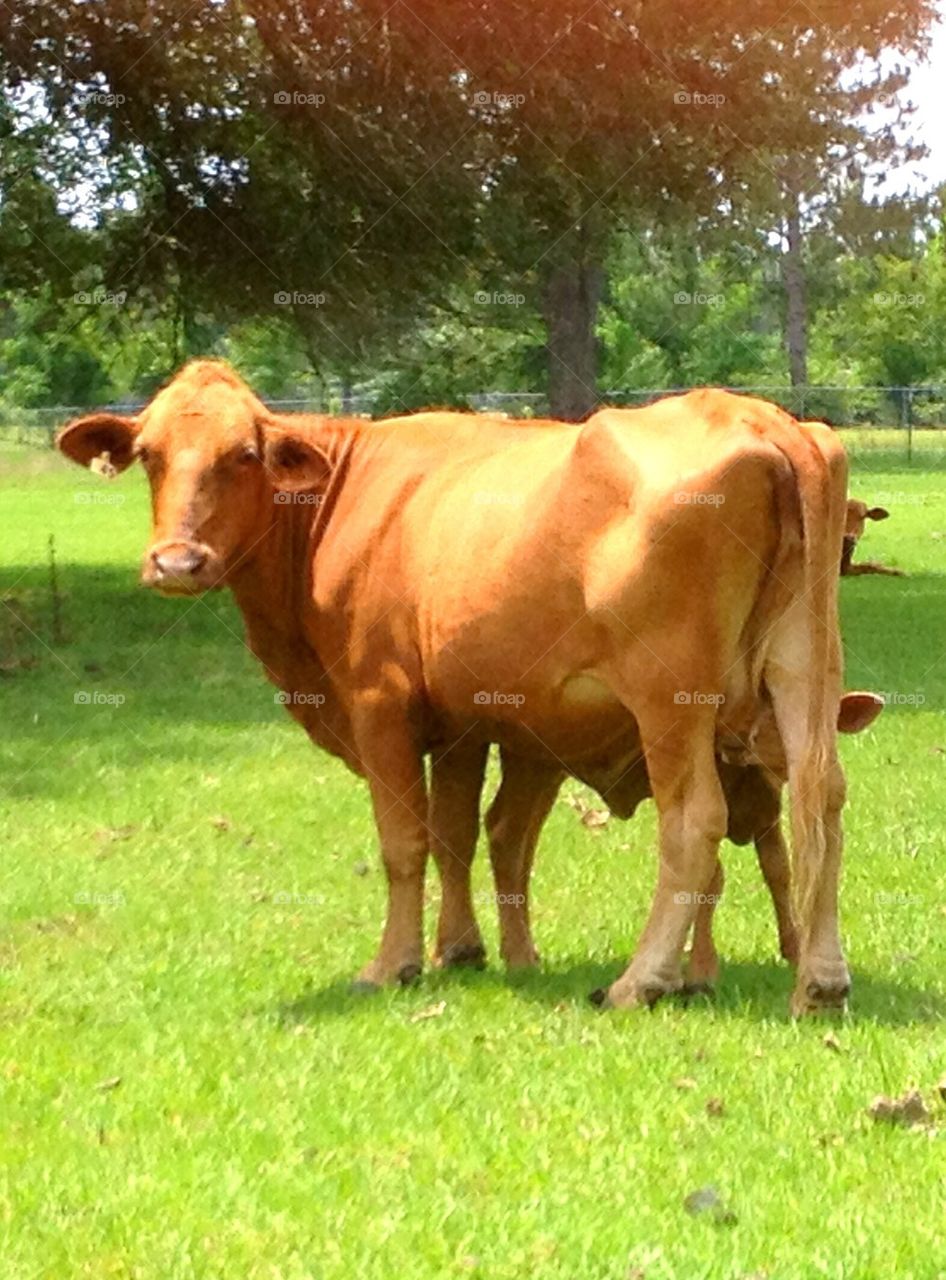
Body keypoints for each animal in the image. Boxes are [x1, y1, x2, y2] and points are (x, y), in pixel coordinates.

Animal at [58, 361, 862, 1016]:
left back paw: (642, 981)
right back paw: (821, 981)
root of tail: (759, 417)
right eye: (151, 455)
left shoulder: (379, 703)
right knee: (821, 797)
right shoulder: (463, 722)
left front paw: (394, 964)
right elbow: (455, 834)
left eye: (244, 455)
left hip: (671, 696)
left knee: (694, 819)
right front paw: (460, 951)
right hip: (806, 669)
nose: (177, 562)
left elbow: (404, 842)